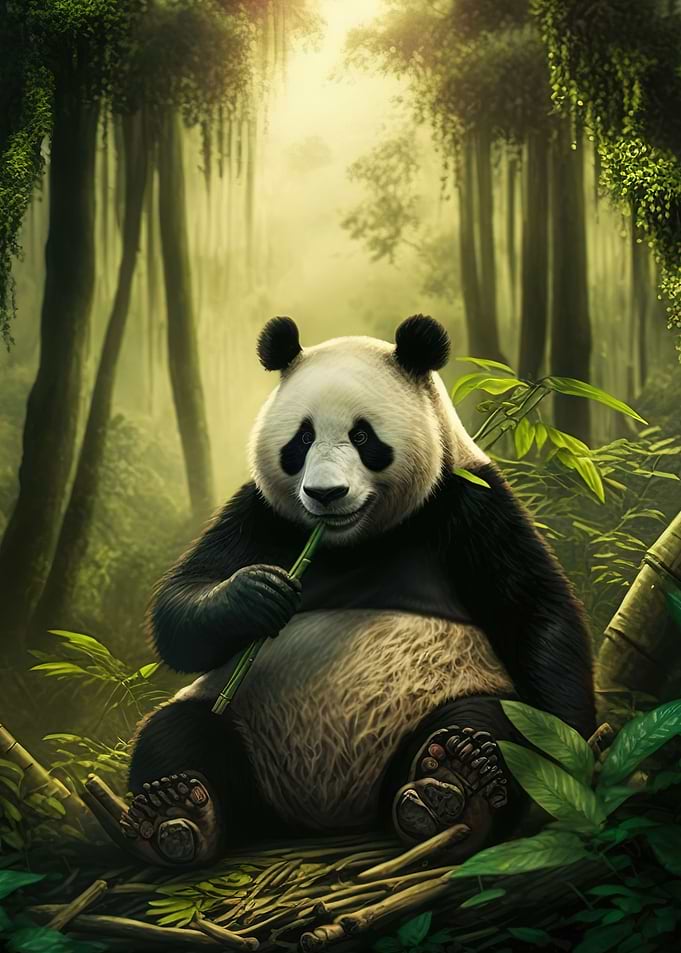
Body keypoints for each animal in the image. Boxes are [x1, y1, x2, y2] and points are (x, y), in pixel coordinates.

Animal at [86, 315, 595, 868]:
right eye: (302, 438)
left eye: (363, 435)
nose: (325, 494)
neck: (353, 541)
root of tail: (323, 817)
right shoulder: (264, 513)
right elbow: (181, 608)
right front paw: (258, 595)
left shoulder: (469, 502)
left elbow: (535, 612)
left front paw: (566, 760)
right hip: (235, 717)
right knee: (177, 734)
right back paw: (177, 810)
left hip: (448, 695)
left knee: (489, 722)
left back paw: (453, 783)